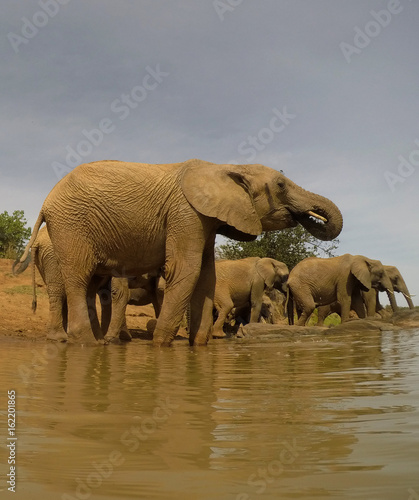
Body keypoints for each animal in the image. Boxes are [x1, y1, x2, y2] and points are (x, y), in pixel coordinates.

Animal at [18, 158, 342, 346]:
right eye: (281, 185)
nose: (314, 216)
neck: (224, 167)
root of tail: (45, 203)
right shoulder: (185, 213)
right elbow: (185, 270)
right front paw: (161, 345)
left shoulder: (205, 221)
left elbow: (207, 277)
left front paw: (198, 346)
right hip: (71, 226)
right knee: (78, 278)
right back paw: (86, 343)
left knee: (91, 283)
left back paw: (95, 342)